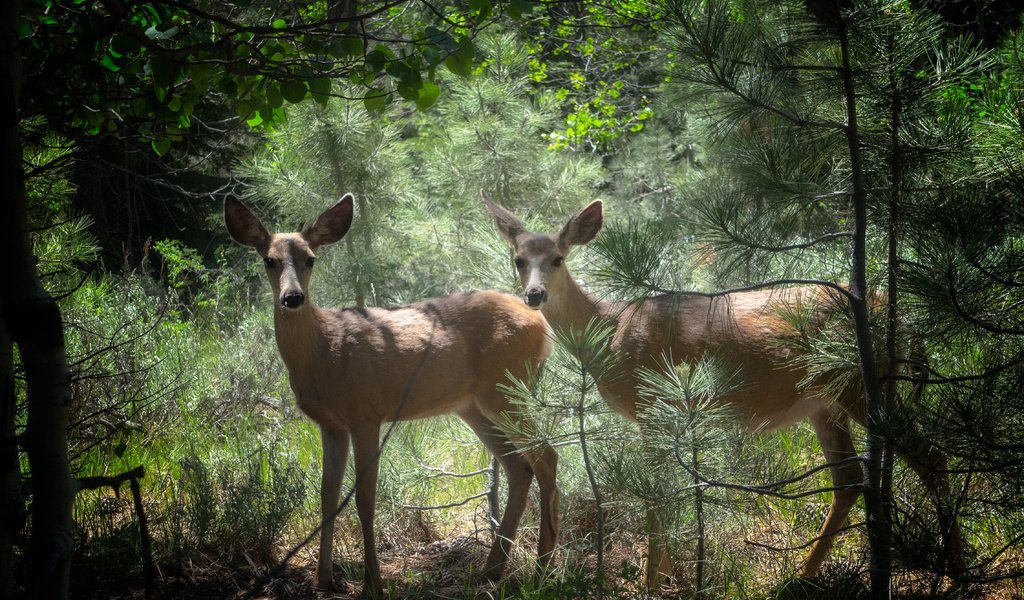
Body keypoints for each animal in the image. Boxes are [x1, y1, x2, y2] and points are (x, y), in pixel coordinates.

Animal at [225, 194, 561, 593]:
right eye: (269, 260)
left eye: (310, 258)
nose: (293, 297)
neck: (323, 351)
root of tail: (542, 323)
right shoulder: (330, 424)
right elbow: (327, 495)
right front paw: (324, 579)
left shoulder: (365, 414)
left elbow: (364, 499)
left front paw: (373, 583)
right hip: (475, 405)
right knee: (518, 466)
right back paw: (492, 570)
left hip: (507, 389)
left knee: (546, 456)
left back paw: (542, 569)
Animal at [479, 192, 958, 589]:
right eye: (518, 259)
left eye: (558, 258)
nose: (534, 295)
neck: (611, 330)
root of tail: (901, 318)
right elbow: (665, 490)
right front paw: (668, 575)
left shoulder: (653, 404)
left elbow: (655, 493)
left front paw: (652, 581)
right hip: (824, 402)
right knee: (850, 480)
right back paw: (799, 578)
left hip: (857, 383)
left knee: (931, 455)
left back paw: (956, 569)